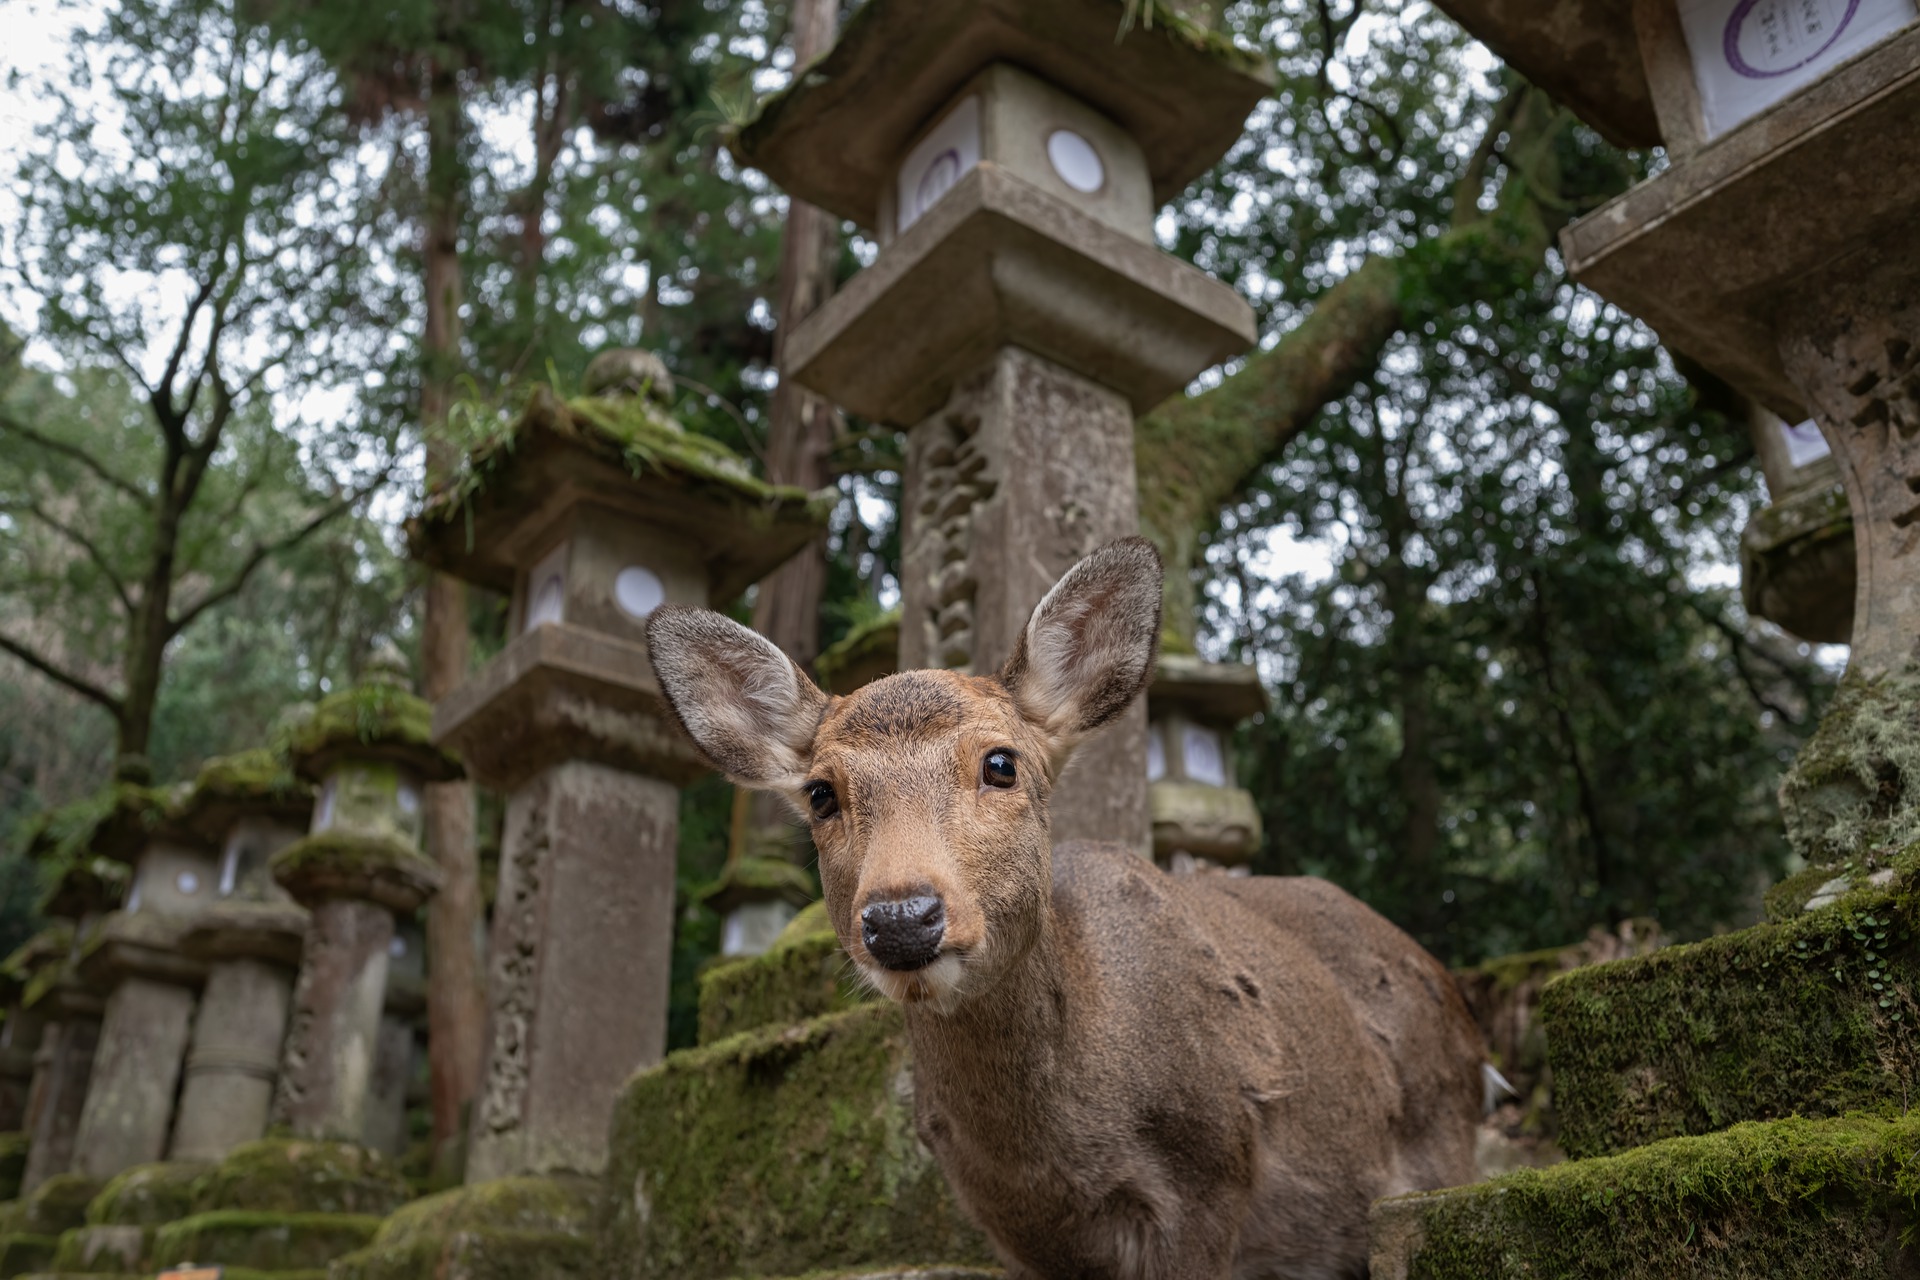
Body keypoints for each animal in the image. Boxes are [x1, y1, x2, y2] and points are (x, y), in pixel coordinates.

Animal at [646, 537, 1485, 1280]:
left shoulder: (1214, 1169)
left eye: (1001, 763)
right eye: (821, 792)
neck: (1060, 1161)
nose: (901, 918)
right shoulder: (1011, 1232)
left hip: (1439, 1142)